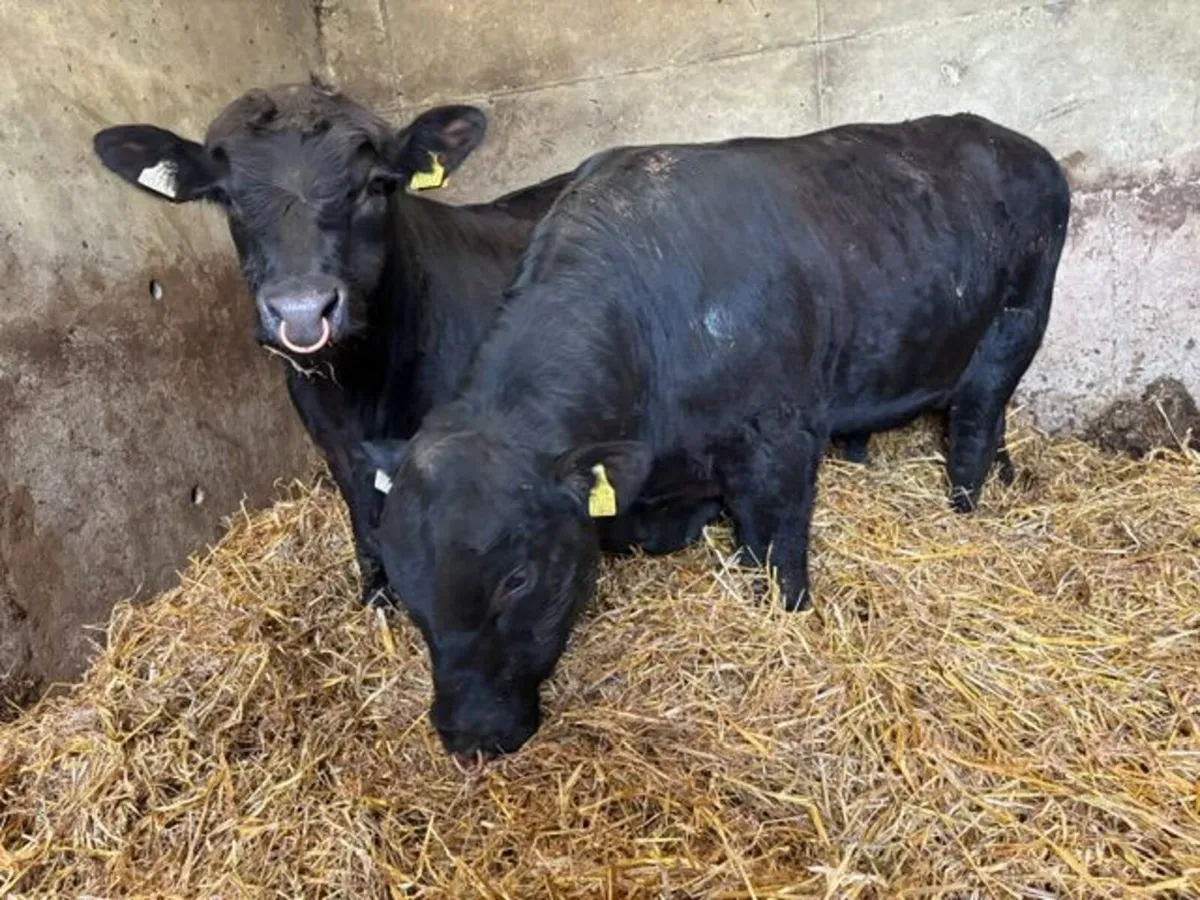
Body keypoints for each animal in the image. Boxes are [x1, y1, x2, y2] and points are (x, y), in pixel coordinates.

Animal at [90, 81, 722, 606]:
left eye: (374, 185)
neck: (365, 388)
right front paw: (378, 593)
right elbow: (364, 519)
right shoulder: (335, 445)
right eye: (226, 197)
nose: (302, 310)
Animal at [364, 113, 1070, 758]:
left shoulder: (781, 439)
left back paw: (967, 506)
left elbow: (777, 552)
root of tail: (1013, 140)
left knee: (976, 422)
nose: (467, 737)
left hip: (1016, 328)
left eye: (516, 579)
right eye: (403, 583)